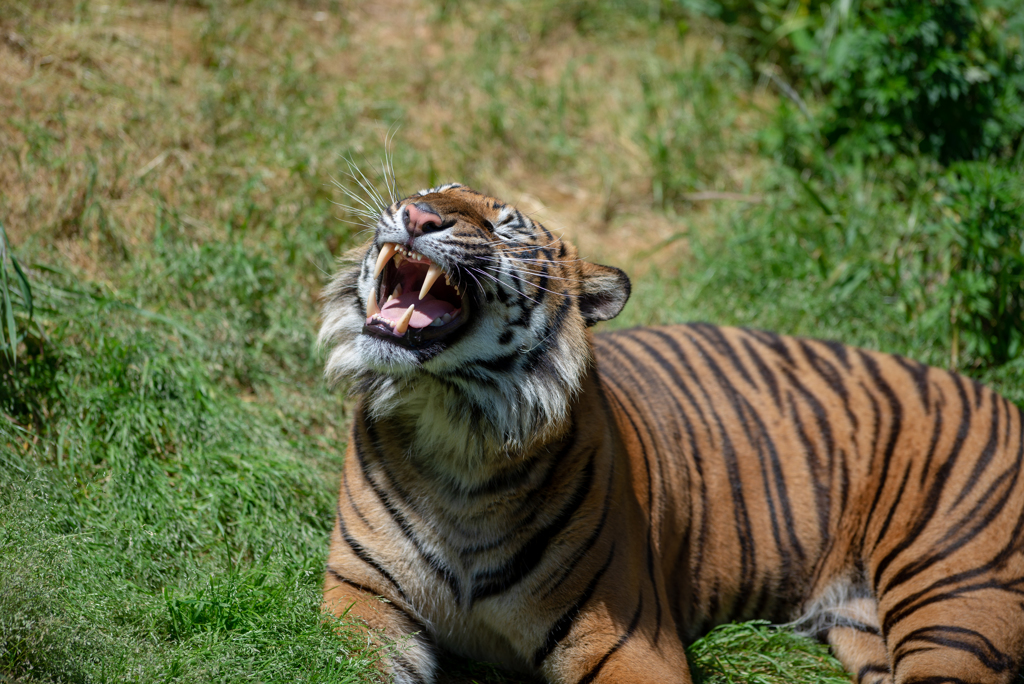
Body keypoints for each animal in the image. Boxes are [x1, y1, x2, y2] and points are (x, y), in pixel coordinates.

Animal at [319, 183, 1024, 684]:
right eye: (430, 190)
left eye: (502, 224)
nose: (415, 214)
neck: (457, 436)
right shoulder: (361, 597)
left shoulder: (628, 642)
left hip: (957, 605)